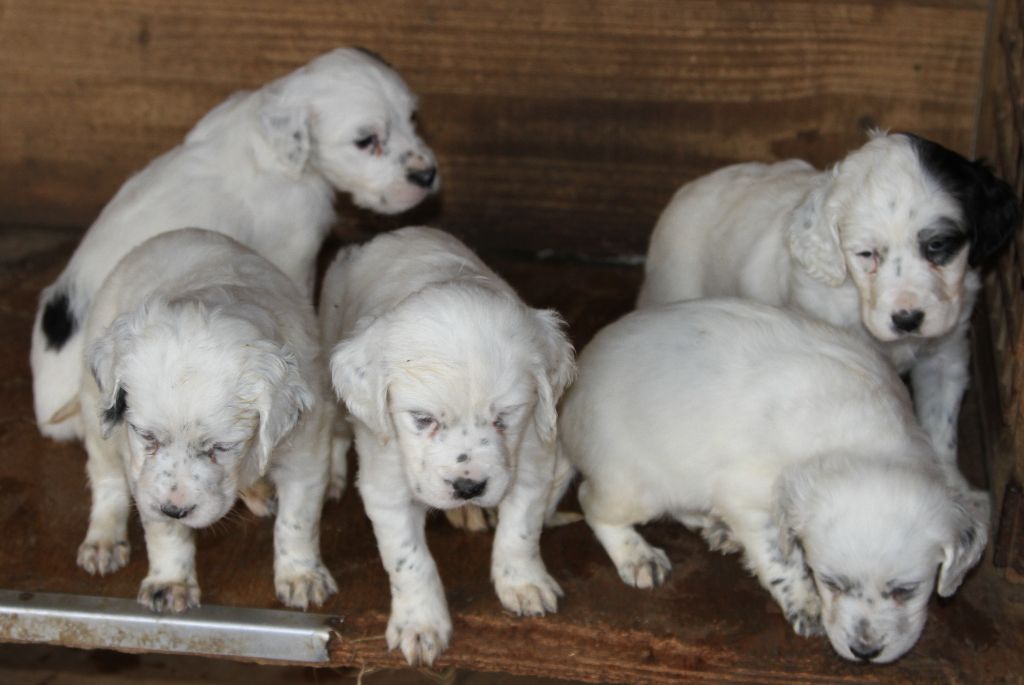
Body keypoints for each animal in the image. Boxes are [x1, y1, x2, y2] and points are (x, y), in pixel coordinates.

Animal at [29, 46, 438, 444]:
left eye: (412, 119)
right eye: (365, 141)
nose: (428, 174)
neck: (274, 147)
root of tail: (45, 414)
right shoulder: (296, 251)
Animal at [77, 227, 339, 610]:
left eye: (221, 447)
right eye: (147, 437)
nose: (175, 509)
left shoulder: (307, 450)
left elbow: (297, 520)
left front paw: (301, 575)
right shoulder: (143, 471)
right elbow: (163, 528)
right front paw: (170, 582)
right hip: (95, 413)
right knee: (105, 476)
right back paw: (103, 540)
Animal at [321, 227, 573, 663]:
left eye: (505, 415)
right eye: (423, 419)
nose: (468, 487)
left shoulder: (532, 456)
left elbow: (521, 529)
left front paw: (523, 583)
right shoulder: (386, 484)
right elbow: (409, 559)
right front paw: (420, 625)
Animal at [561, 298, 991, 663]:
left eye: (906, 590)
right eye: (830, 582)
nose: (864, 652)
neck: (862, 438)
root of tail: (569, 403)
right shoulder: (747, 496)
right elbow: (781, 559)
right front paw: (805, 605)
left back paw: (714, 527)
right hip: (636, 484)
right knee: (592, 503)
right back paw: (638, 555)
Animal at [634, 129, 1019, 471]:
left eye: (937, 246)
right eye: (866, 254)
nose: (907, 319)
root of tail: (686, 191)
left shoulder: (944, 354)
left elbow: (942, 430)